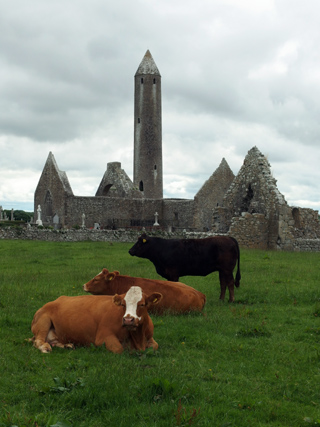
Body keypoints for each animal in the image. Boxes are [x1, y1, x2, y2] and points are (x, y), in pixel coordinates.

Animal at [31, 288, 162, 354]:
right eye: (123, 304)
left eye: (142, 304)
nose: (128, 320)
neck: (138, 339)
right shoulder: (103, 337)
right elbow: (119, 349)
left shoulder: (150, 337)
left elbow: (155, 346)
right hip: (43, 321)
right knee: (38, 341)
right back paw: (45, 347)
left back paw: (67, 345)